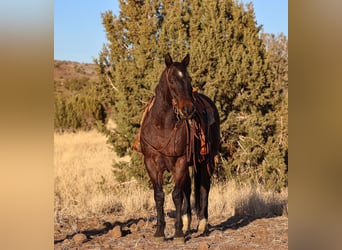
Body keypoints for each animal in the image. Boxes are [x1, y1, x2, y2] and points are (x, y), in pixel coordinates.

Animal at [140, 52, 220, 240]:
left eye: (189, 78)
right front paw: (160, 231)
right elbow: (159, 195)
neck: (162, 126)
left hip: (206, 162)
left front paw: (177, 233)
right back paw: (187, 222)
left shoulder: (181, 161)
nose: (188, 109)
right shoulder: (151, 163)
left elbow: (176, 195)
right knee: (188, 188)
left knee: (204, 187)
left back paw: (202, 225)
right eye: (171, 80)